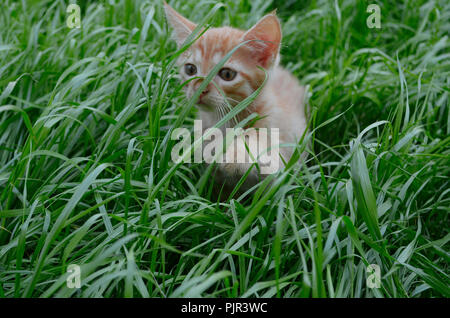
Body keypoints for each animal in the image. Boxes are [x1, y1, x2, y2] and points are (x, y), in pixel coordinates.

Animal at [163, 1, 308, 194]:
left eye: (227, 74)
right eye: (190, 69)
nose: (199, 89)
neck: (224, 119)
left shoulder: (283, 156)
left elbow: (266, 152)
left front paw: (235, 154)